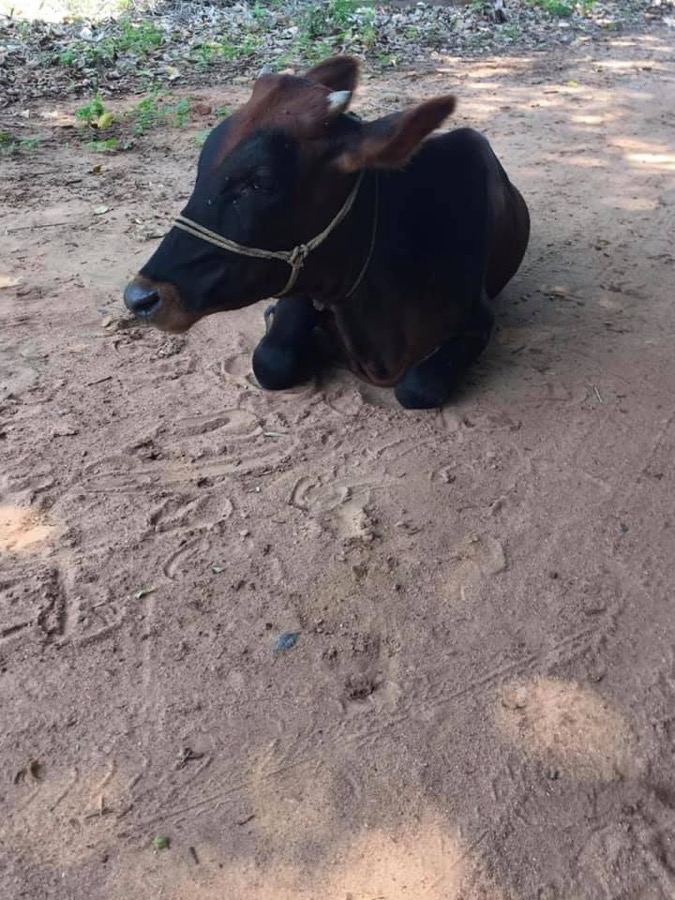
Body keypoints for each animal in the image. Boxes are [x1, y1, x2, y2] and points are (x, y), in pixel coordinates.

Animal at [123, 56, 530, 409]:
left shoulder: (479, 319)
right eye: (201, 166)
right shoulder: (302, 287)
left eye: (261, 182)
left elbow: (417, 388)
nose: (140, 297)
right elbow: (270, 361)